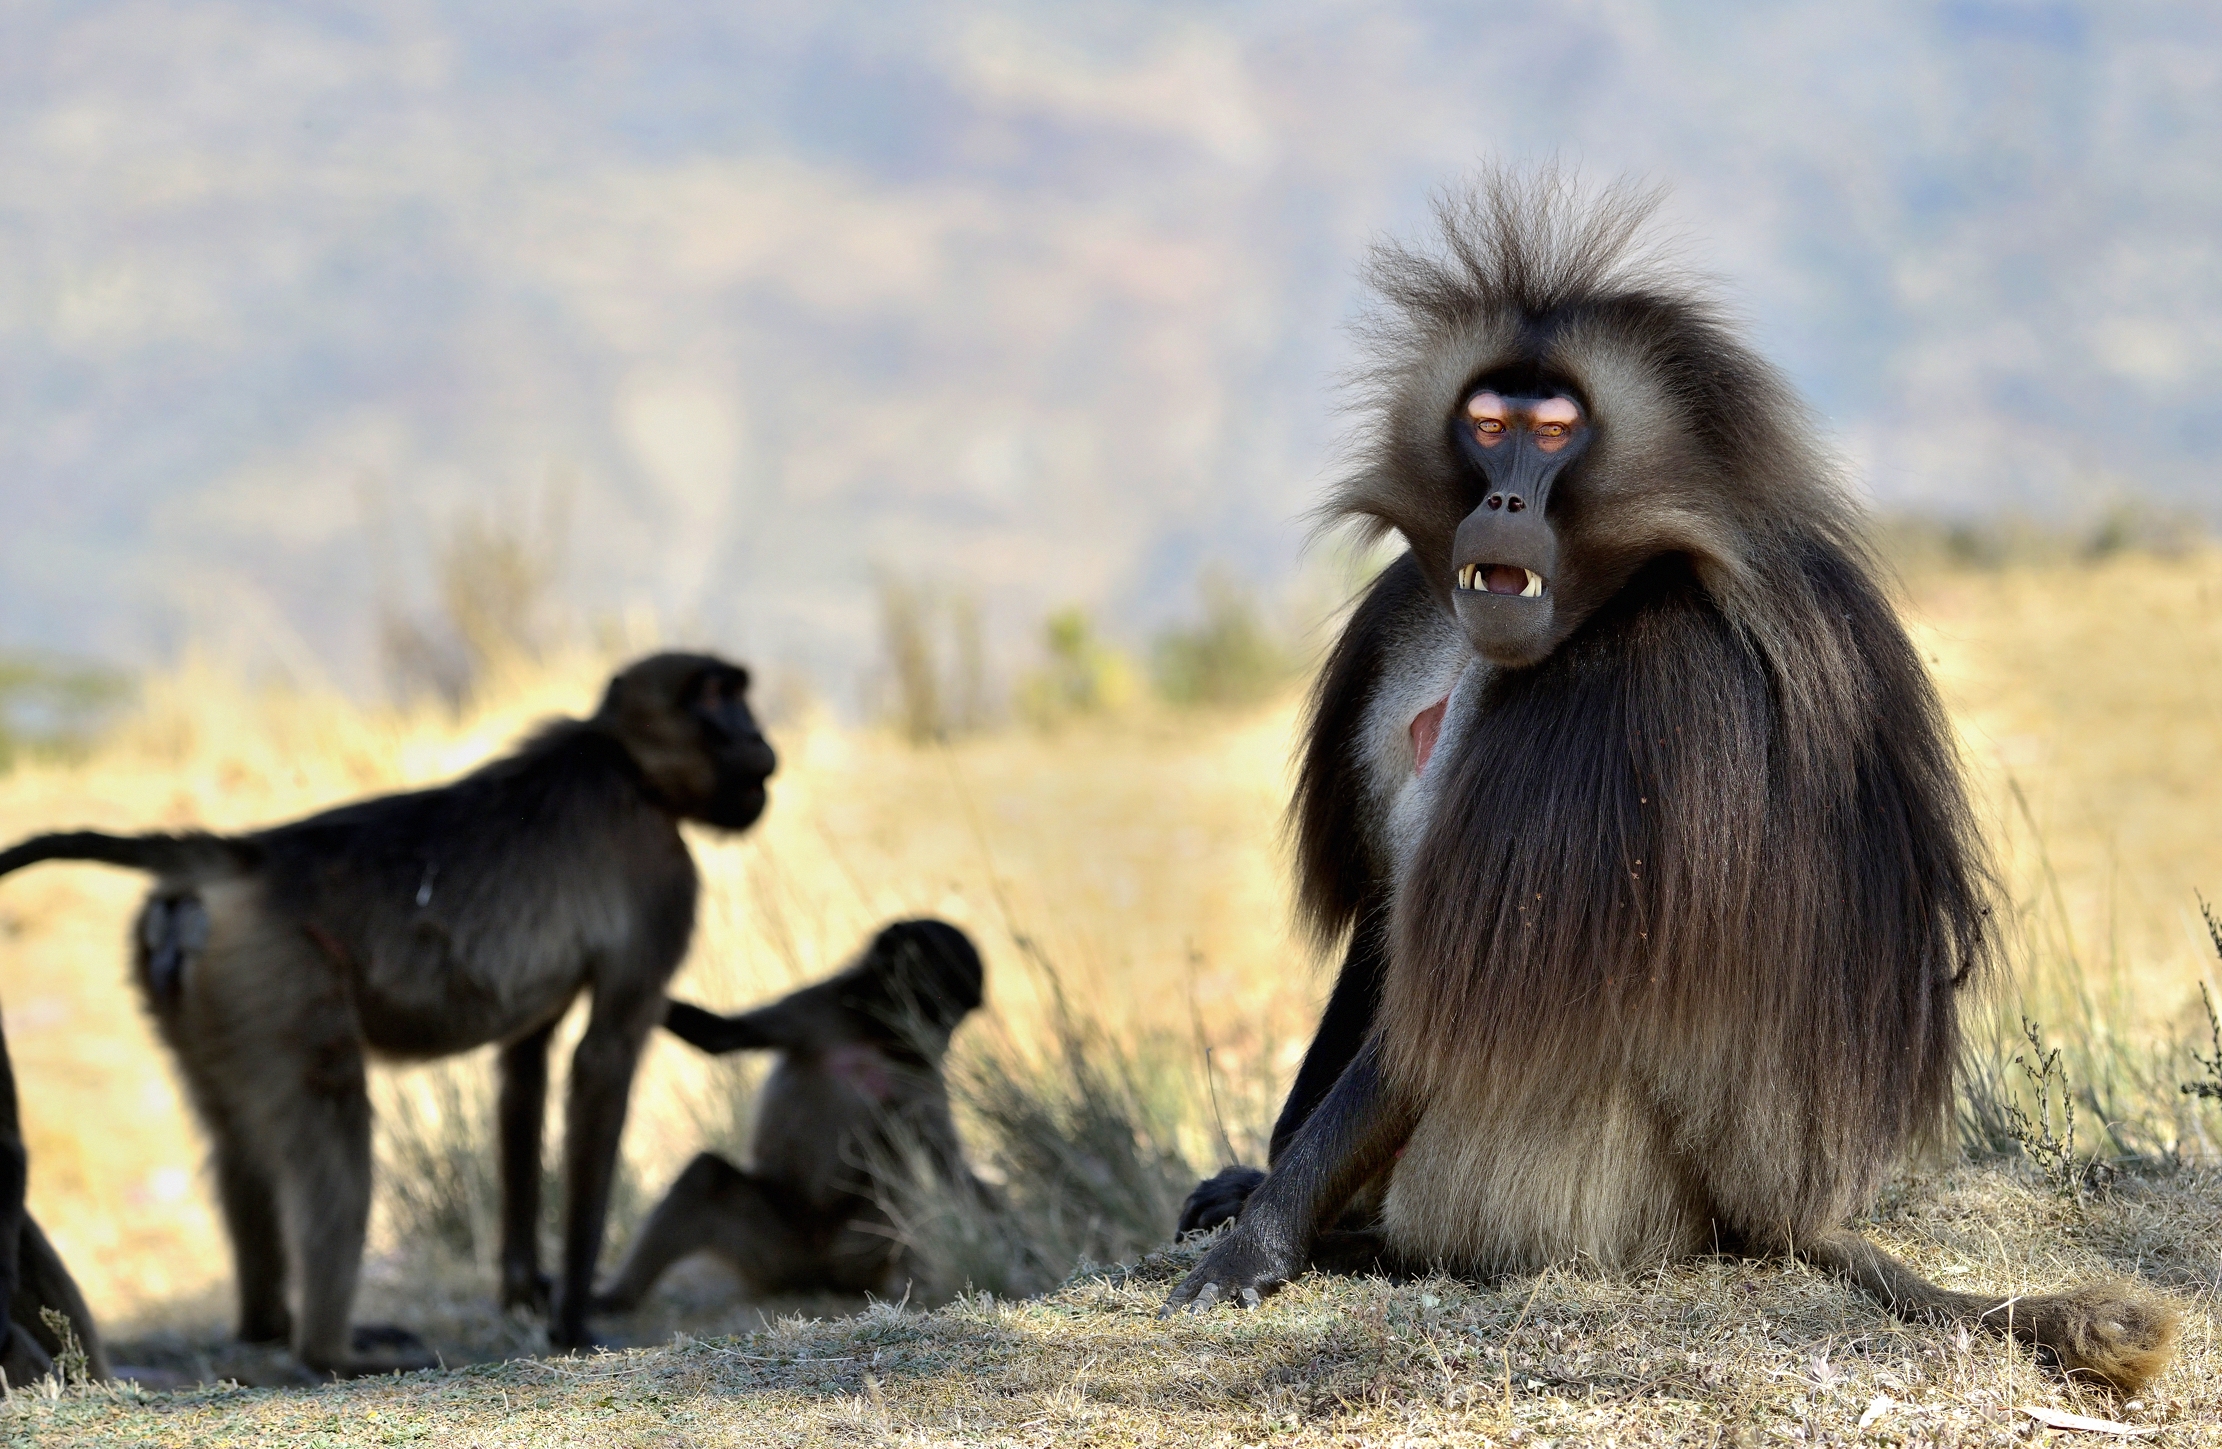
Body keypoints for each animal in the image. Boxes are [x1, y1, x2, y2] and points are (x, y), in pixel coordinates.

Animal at [594, 918, 989, 1309]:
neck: (872, 1035)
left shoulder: (920, 1072)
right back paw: (619, 1297)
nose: (942, 1038)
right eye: (940, 1004)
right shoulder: (817, 1006)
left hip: (854, 1245)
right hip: (772, 1245)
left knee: (902, 1196)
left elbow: (950, 1166)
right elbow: (721, 1036)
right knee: (706, 1176)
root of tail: (815, 1268)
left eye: (955, 1012)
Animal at [1163, 174, 2180, 1396]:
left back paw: (1369, 1243)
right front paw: (1252, 1185)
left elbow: (1446, 1000)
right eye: (1488, 425)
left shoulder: (1630, 693)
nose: (1505, 505)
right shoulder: (1408, 607)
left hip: (1598, 1191)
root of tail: (1786, 1208)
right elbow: (1389, 931)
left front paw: (1260, 1243)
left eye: (1556, 434)